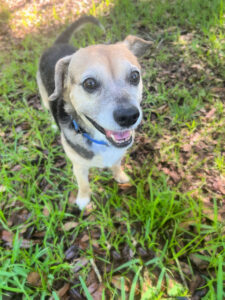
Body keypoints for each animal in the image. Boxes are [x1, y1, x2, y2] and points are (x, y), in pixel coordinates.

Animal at [37, 15, 152, 210]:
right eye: (89, 83)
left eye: (135, 76)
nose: (129, 116)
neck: (101, 140)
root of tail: (59, 44)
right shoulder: (78, 166)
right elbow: (84, 184)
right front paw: (84, 200)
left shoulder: (118, 155)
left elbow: (116, 166)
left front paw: (120, 176)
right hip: (45, 97)